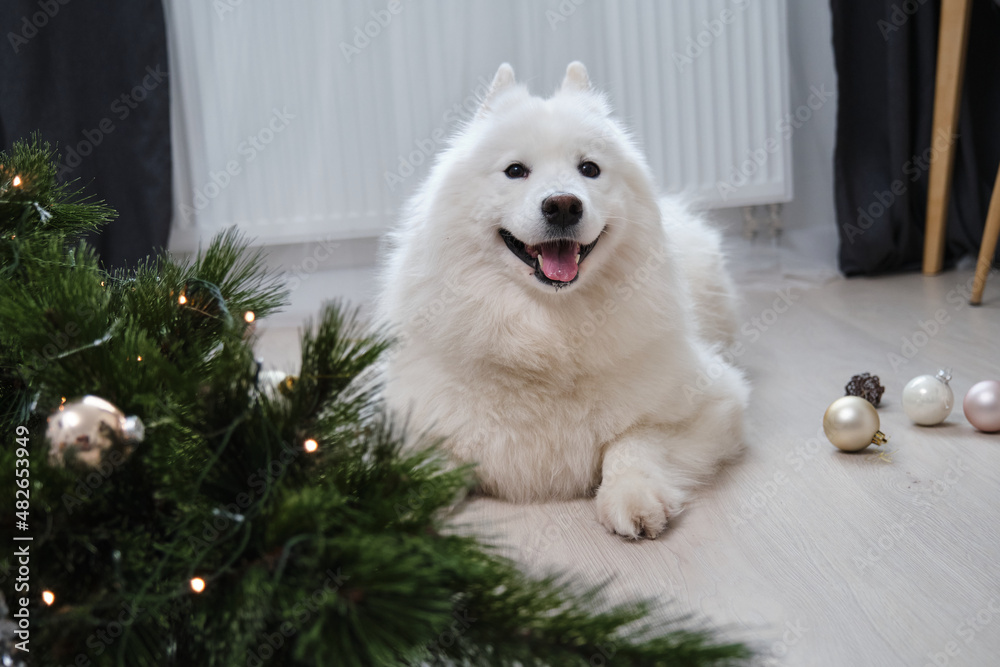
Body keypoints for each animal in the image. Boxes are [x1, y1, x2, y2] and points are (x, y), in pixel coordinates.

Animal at [378, 62, 748, 540]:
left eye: (589, 168)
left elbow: (634, 441)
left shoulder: (711, 404)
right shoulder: (420, 423)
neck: (547, 332)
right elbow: (430, 465)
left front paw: (632, 495)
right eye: (515, 170)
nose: (563, 205)